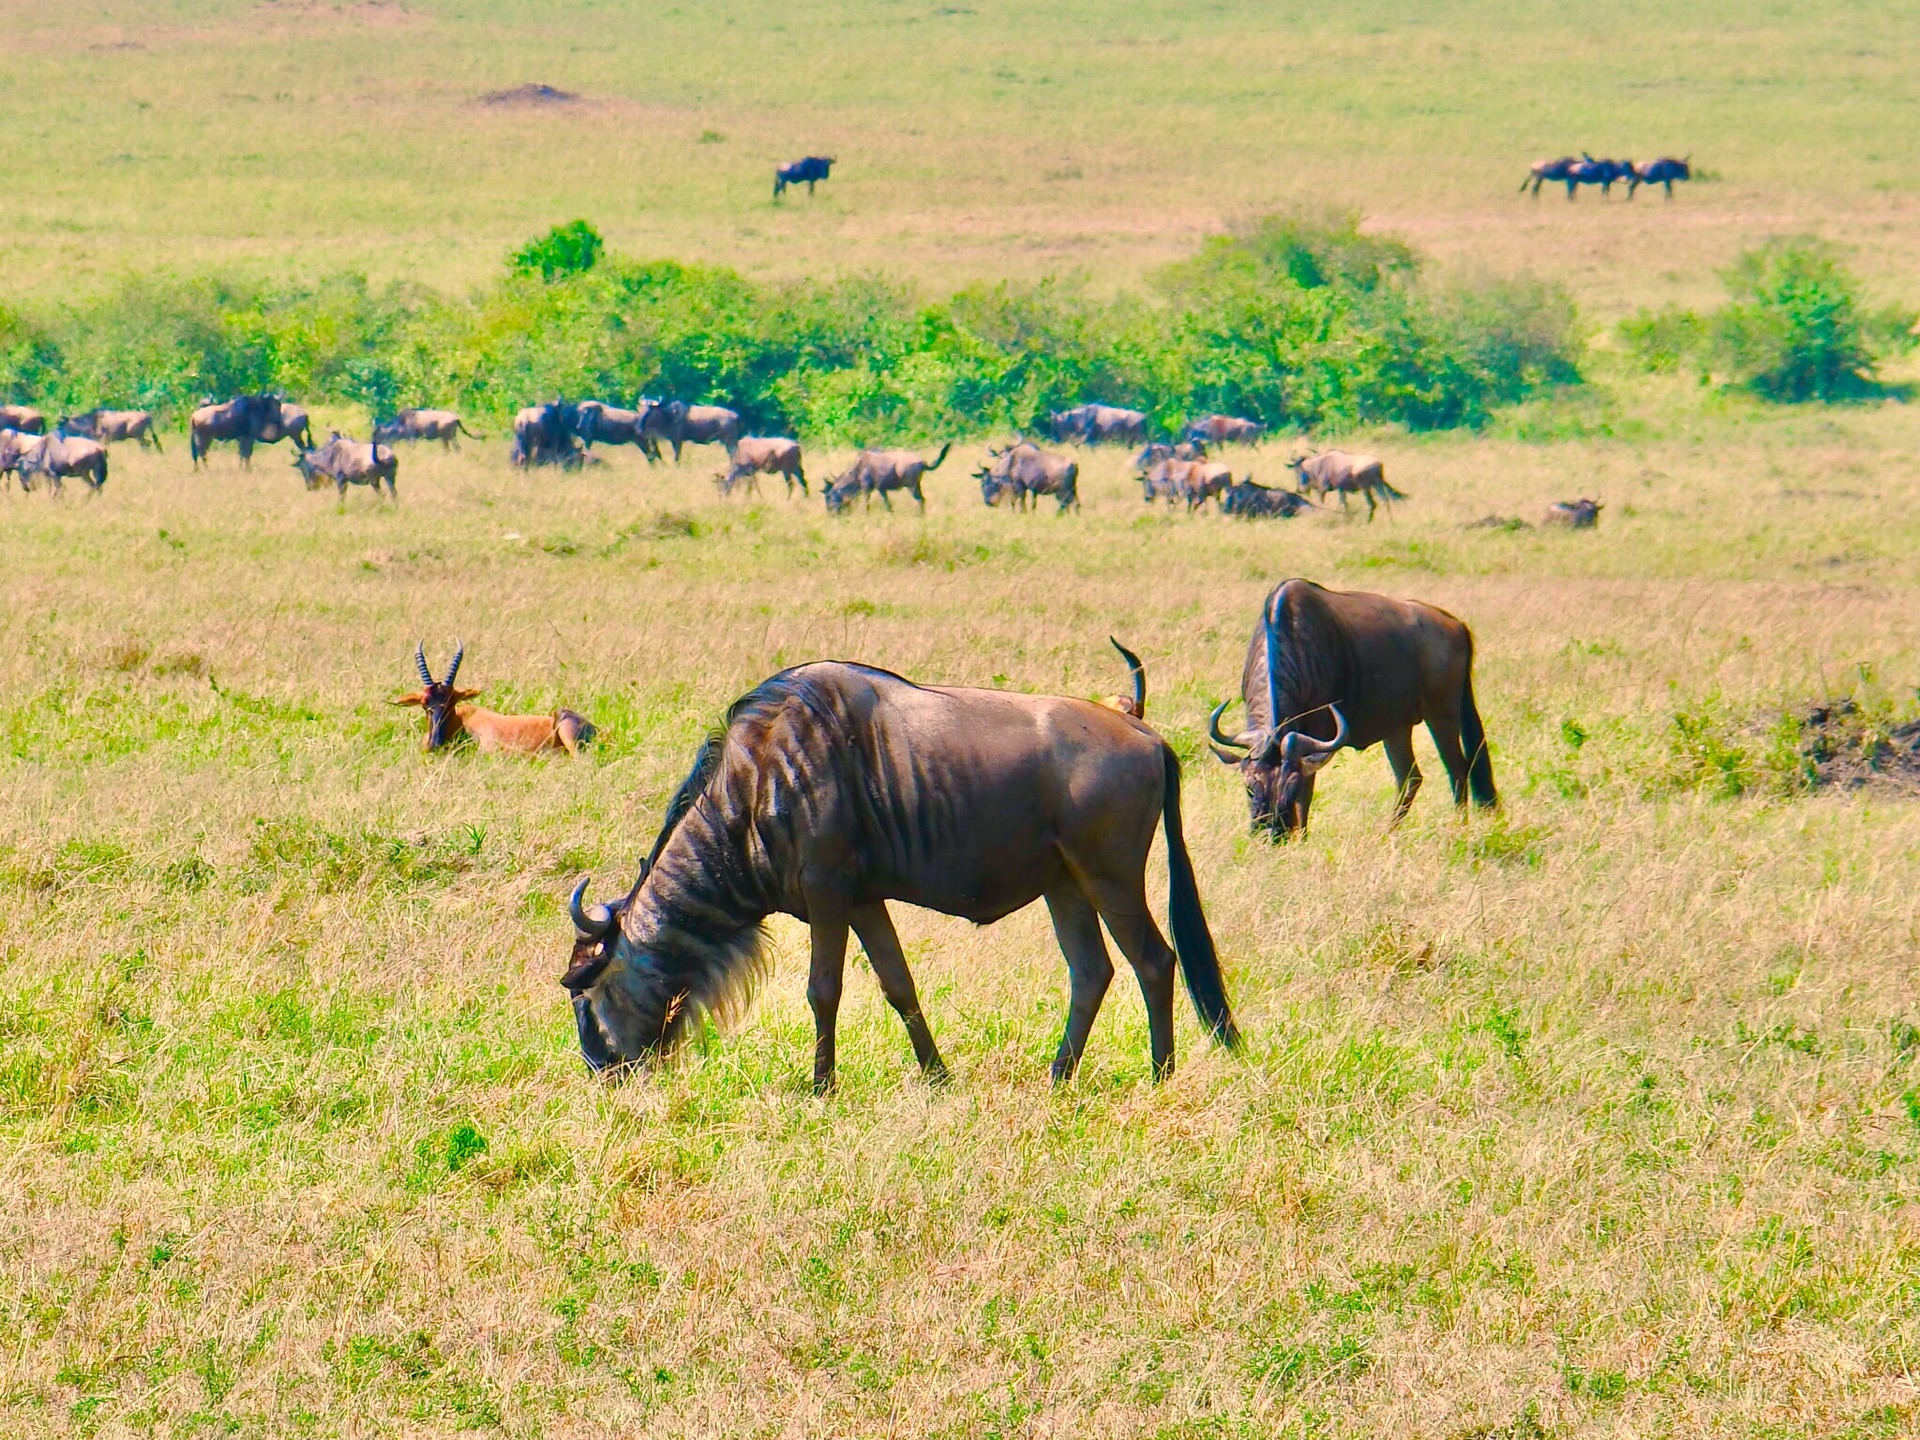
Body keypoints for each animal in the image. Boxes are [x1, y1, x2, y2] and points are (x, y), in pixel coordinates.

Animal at [560, 648, 1236, 1090]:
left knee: (1155, 960)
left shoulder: (828, 894)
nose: (600, 1073)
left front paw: (821, 1087)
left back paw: (1159, 1076)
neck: (758, 786)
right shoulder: (863, 900)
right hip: (1064, 884)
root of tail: (1147, 734)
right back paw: (1057, 1076)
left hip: (1110, 878)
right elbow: (898, 986)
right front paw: (937, 1076)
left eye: (583, 993)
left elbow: (823, 989)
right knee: (1092, 971)